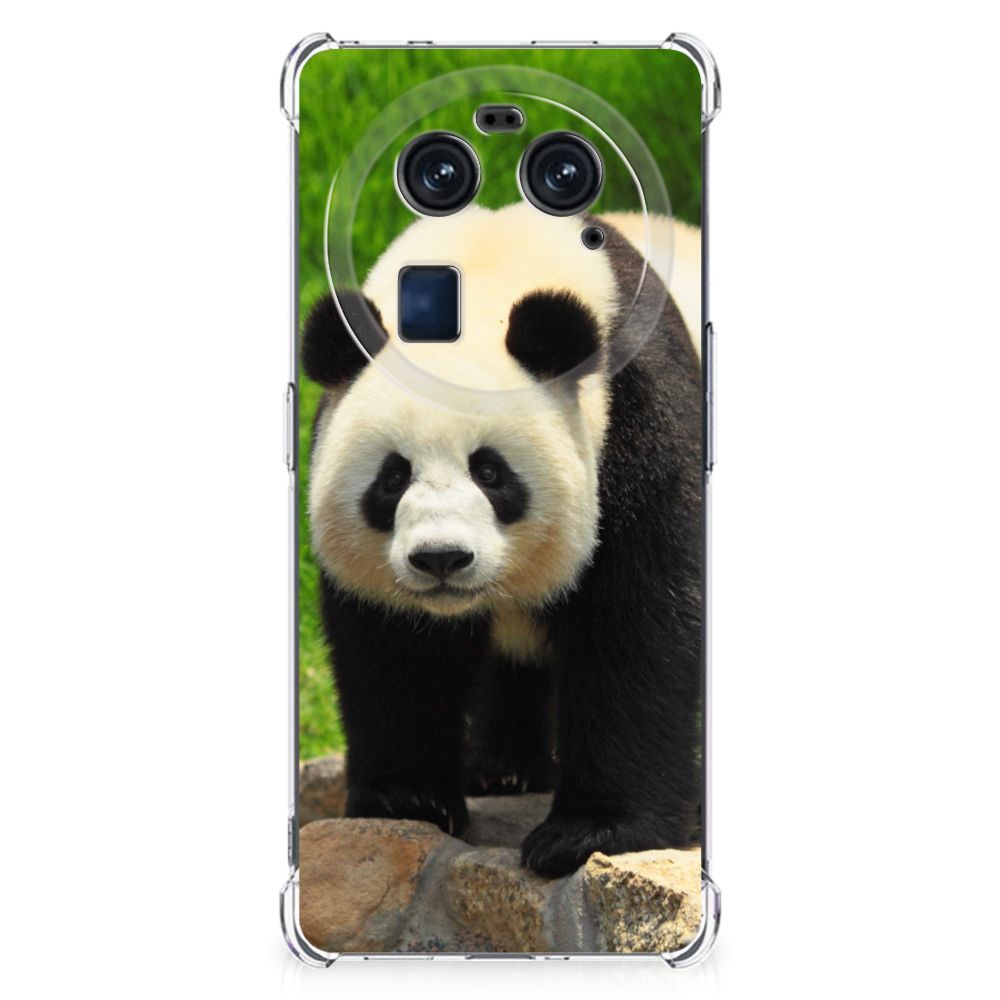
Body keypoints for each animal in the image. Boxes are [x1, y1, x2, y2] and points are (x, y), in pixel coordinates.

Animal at [302, 202, 703, 878]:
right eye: (392, 477)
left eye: (490, 472)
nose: (441, 559)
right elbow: (394, 649)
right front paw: (408, 799)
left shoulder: (640, 423)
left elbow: (640, 625)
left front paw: (589, 832)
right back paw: (504, 769)